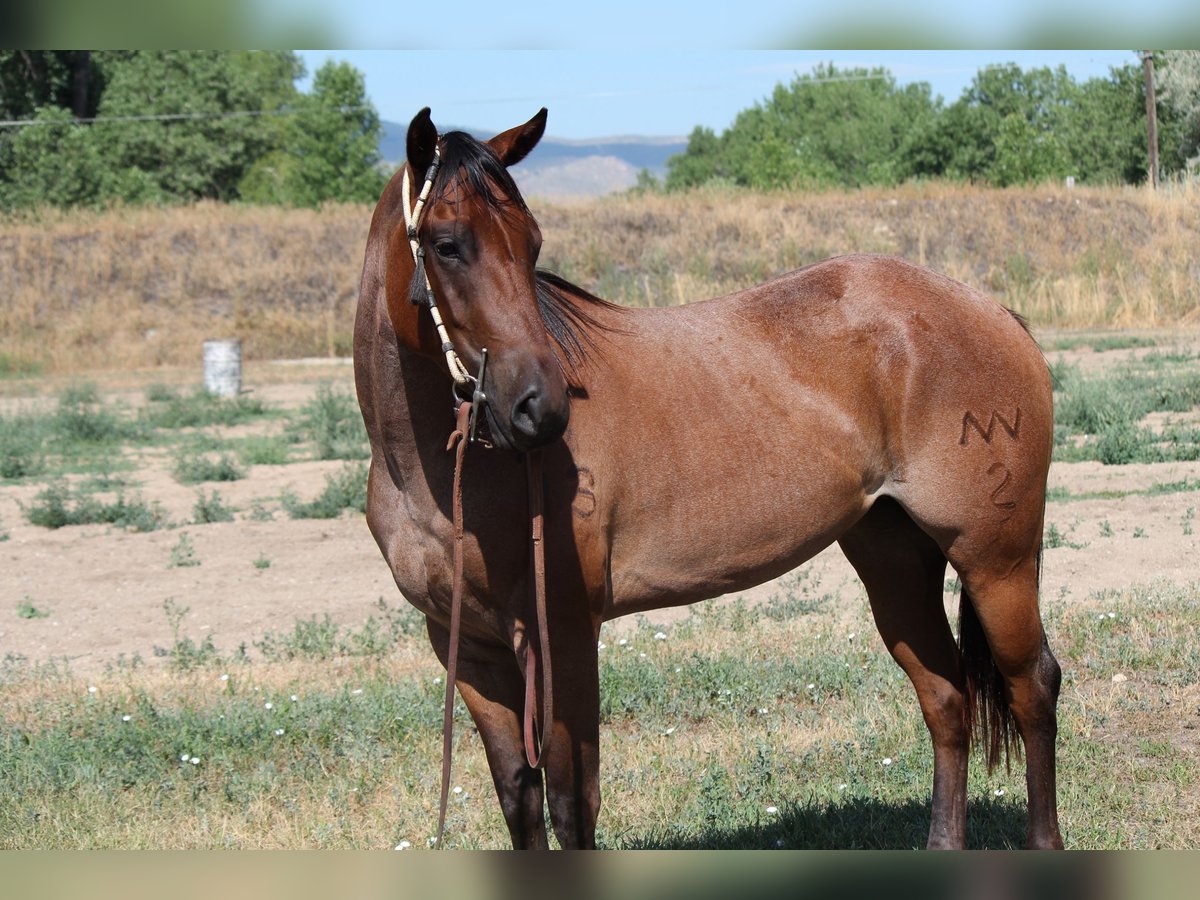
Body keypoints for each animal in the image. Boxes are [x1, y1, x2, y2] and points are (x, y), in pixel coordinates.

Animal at [353, 107, 1062, 850]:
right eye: (446, 245)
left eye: (531, 244)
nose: (540, 406)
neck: (444, 478)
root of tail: (993, 312)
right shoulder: (468, 652)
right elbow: (519, 797)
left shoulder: (564, 638)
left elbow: (574, 804)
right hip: (894, 558)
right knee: (947, 697)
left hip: (996, 560)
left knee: (1032, 687)